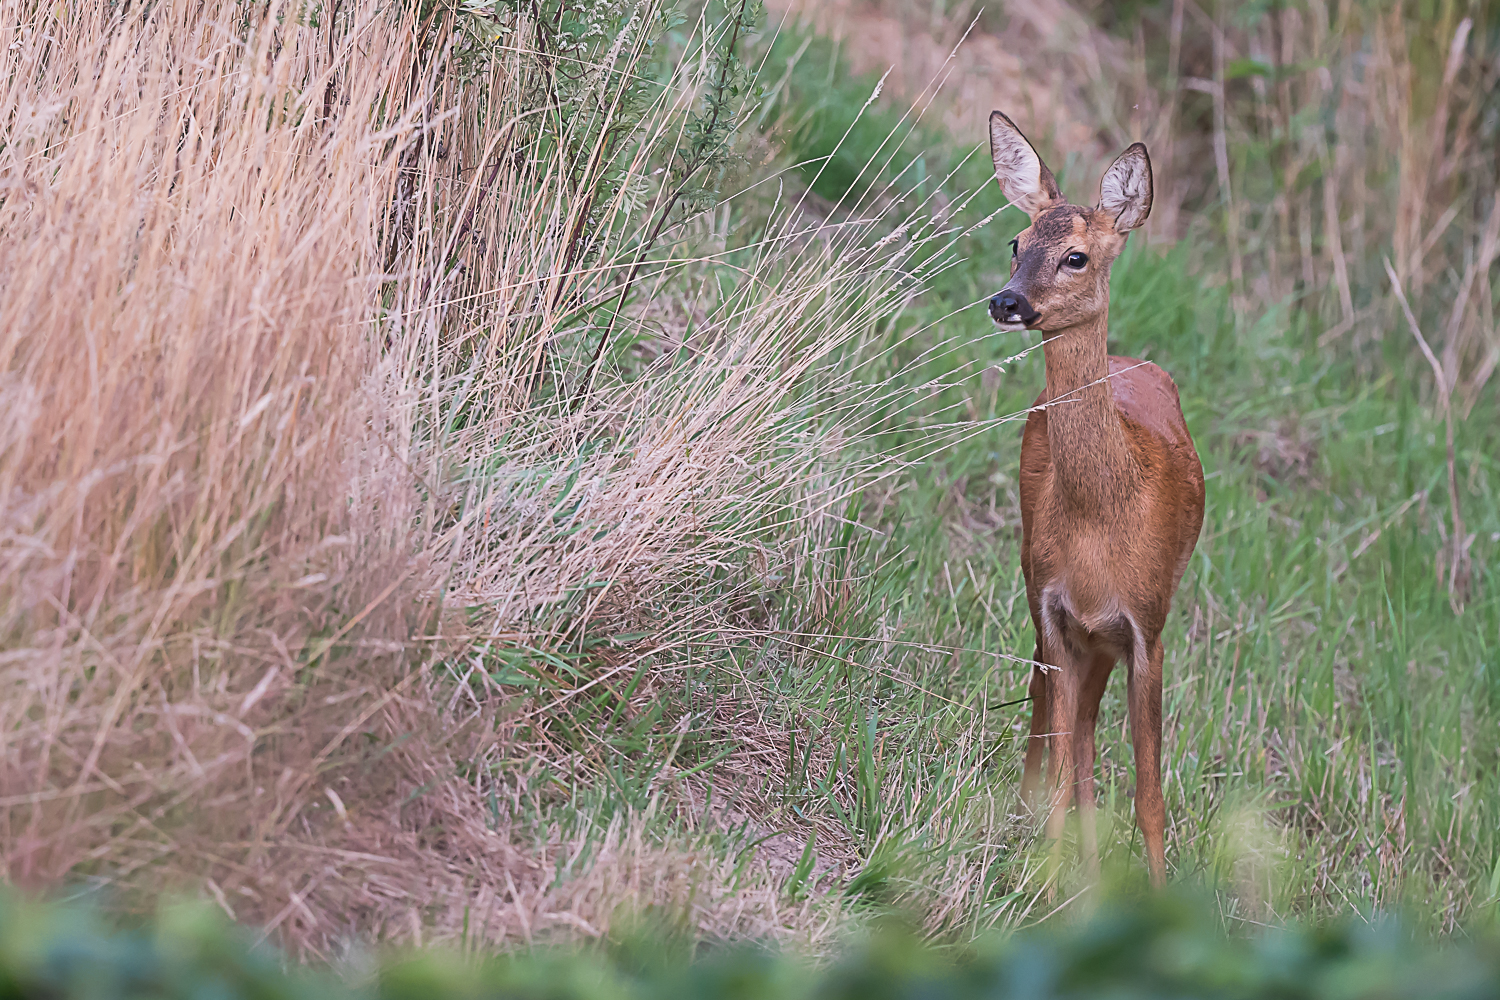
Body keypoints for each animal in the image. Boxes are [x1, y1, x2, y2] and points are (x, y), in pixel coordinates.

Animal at [984, 113, 1206, 887]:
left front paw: (1156, 894)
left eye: (1076, 257)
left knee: (1080, 734)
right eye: (1016, 242)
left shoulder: (1146, 624)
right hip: (1035, 578)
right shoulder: (1056, 605)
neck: (1104, 517)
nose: (1008, 301)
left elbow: (1149, 793)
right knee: (1053, 719)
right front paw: (1045, 879)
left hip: (1106, 635)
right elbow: (1061, 750)